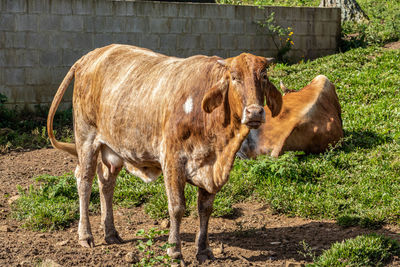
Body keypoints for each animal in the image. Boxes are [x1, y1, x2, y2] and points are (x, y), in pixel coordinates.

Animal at [47, 44, 282, 264]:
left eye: (264, 76)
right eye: (234, 77)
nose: (254, 112)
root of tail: (90, 56)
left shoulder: (210, 169)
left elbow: (205, 209)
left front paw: (204, 250)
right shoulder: (173, 160)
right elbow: (177, 208)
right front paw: (175, 251)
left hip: (112, 150)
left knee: (106, 184)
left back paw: (111, 233)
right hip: (86, 138)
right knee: (84, 181)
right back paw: (85, 235)